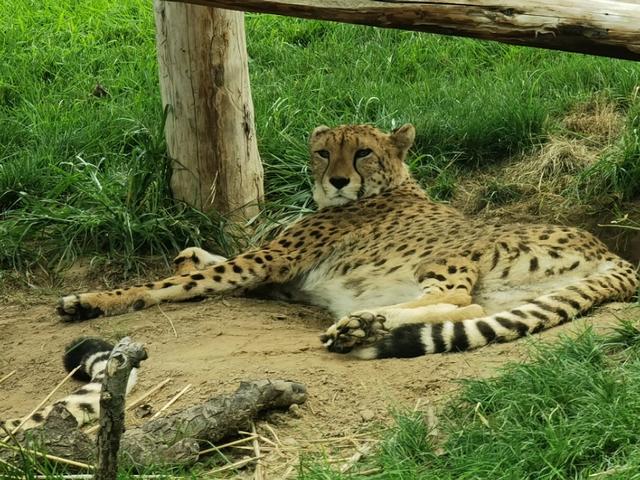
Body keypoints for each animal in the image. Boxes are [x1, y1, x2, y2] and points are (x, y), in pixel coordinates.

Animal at [57, 124, 636, 360]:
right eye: (323, 152)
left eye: (362, 153)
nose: (336, 180)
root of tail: (612, 253)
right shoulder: (277, 277)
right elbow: (207, 264)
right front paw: (188, 254)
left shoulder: (266, 263)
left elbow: (172, 283)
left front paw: (91, 300)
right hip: (512, 293)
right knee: (467, 312)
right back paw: (365, 325)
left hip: (448, 256)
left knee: (455, 297)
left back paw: (360, 323)